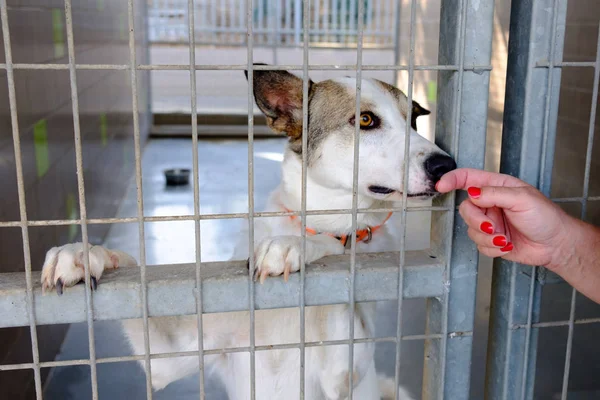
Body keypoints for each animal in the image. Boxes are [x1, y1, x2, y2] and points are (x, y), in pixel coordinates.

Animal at [41, 66, 454, 400]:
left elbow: (335, 245)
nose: (446, 165)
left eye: (413, 120)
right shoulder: (168, 357)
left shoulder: (342, 372)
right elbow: (130, 273)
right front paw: (82, 254)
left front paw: (294, 244)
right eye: (366, 120)